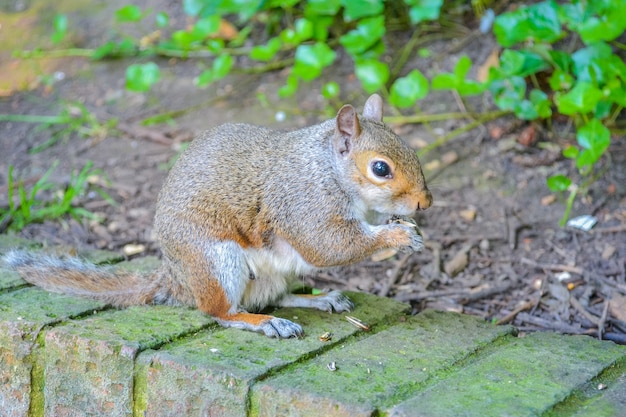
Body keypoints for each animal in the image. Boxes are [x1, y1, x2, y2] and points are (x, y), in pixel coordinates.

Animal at [4, 92, 432, 336]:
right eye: (380, 168)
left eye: (411, 148)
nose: (425, 203)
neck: (326, 168)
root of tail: (176, 279)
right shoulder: (303, 202)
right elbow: (328, 246)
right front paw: (396, 236)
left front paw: (402, 229)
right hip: (216, 260)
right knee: (221, 312)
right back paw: (264, 323)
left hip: (277, 273)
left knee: (275, 296)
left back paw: (318, 299)